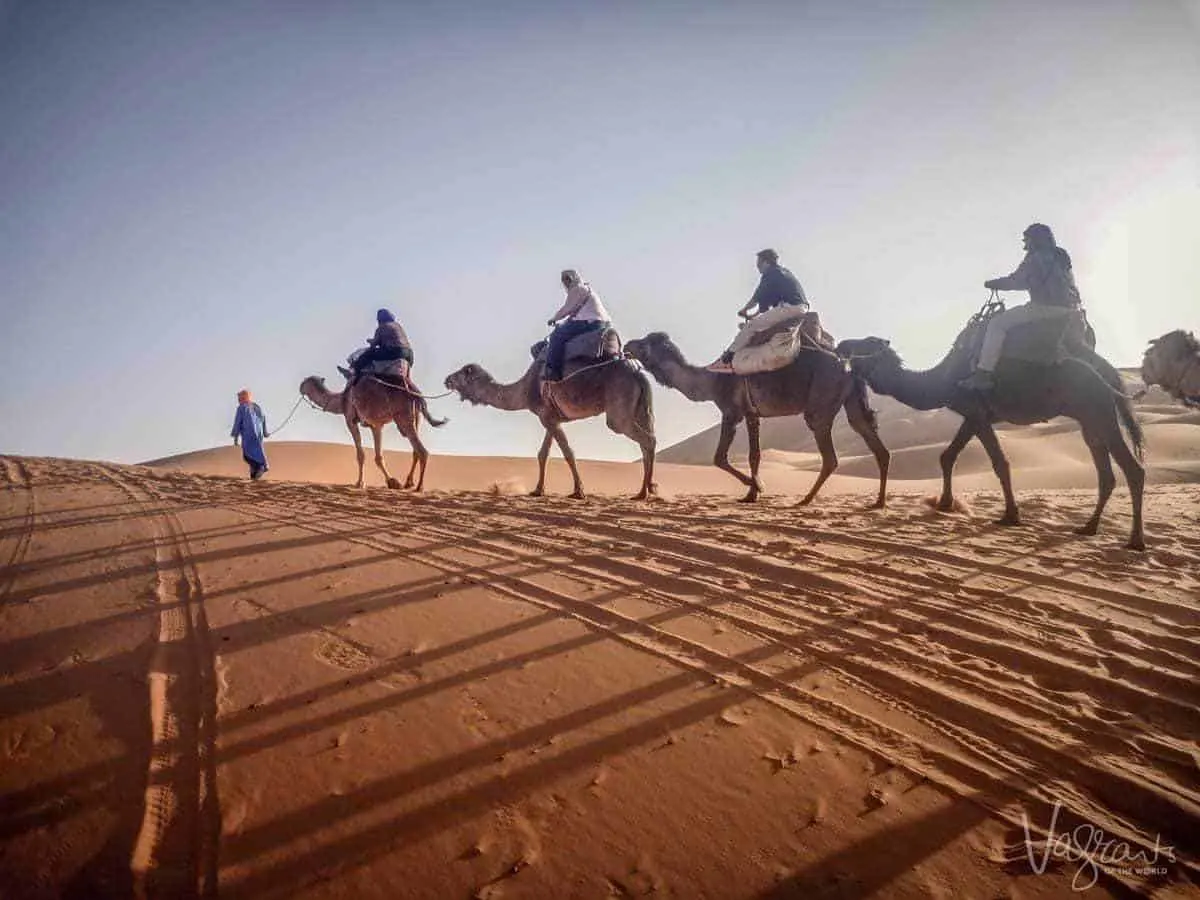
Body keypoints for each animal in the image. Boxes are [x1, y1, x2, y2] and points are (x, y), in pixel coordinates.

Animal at [300, 374, 451, 494]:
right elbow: (378, 457)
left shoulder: (350, 420)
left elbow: (360, 455)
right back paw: (409, 483)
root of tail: (415, 392)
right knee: (415, 451)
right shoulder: (376, 425)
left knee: (422, 451)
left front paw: (360, 483)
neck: (342, 398)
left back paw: (419, 487)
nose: (300, 387)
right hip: (417, 416)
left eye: (305, 381)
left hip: (403, 416)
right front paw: (392, 482)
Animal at [446, 357, 662, 501]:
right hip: (642, 408)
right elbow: (543, 453)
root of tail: (638, 373)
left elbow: (567, 452)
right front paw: (538, 490)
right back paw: (644, 490)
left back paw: (646, 491)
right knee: (647, 441)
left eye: (463, 373)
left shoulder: (547, 417)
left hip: (618, 411)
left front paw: (578, 491)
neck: (524, 390)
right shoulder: (551, 417)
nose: (447, 379)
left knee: (646, 439)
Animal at [619, 336, 892, 511]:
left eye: (644, 342)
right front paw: (751, 494)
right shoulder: (753, 414)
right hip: (852, 400)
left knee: (830, 456)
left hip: (821, 403)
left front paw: (757, 486)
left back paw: (805, 500)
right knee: (874, 442)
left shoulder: (731, 412)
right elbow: (755, 455)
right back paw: (878, 502)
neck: (712, 380)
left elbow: (719, 457)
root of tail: (849, 364)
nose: (627, 344)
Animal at [840, 319, 1147, 556]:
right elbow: (947, 456)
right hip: (1089, 417)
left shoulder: (977, 412)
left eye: (865, 344)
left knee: (1133, 468)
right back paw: (1089, 527)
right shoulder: (972, 415)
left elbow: (999, 462)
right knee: (1106, 472)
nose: (841, 344)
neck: (943, 380)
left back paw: (1135, 541)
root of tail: (1108, 371)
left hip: (1097, 407)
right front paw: (945, 503)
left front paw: (1010, 515)